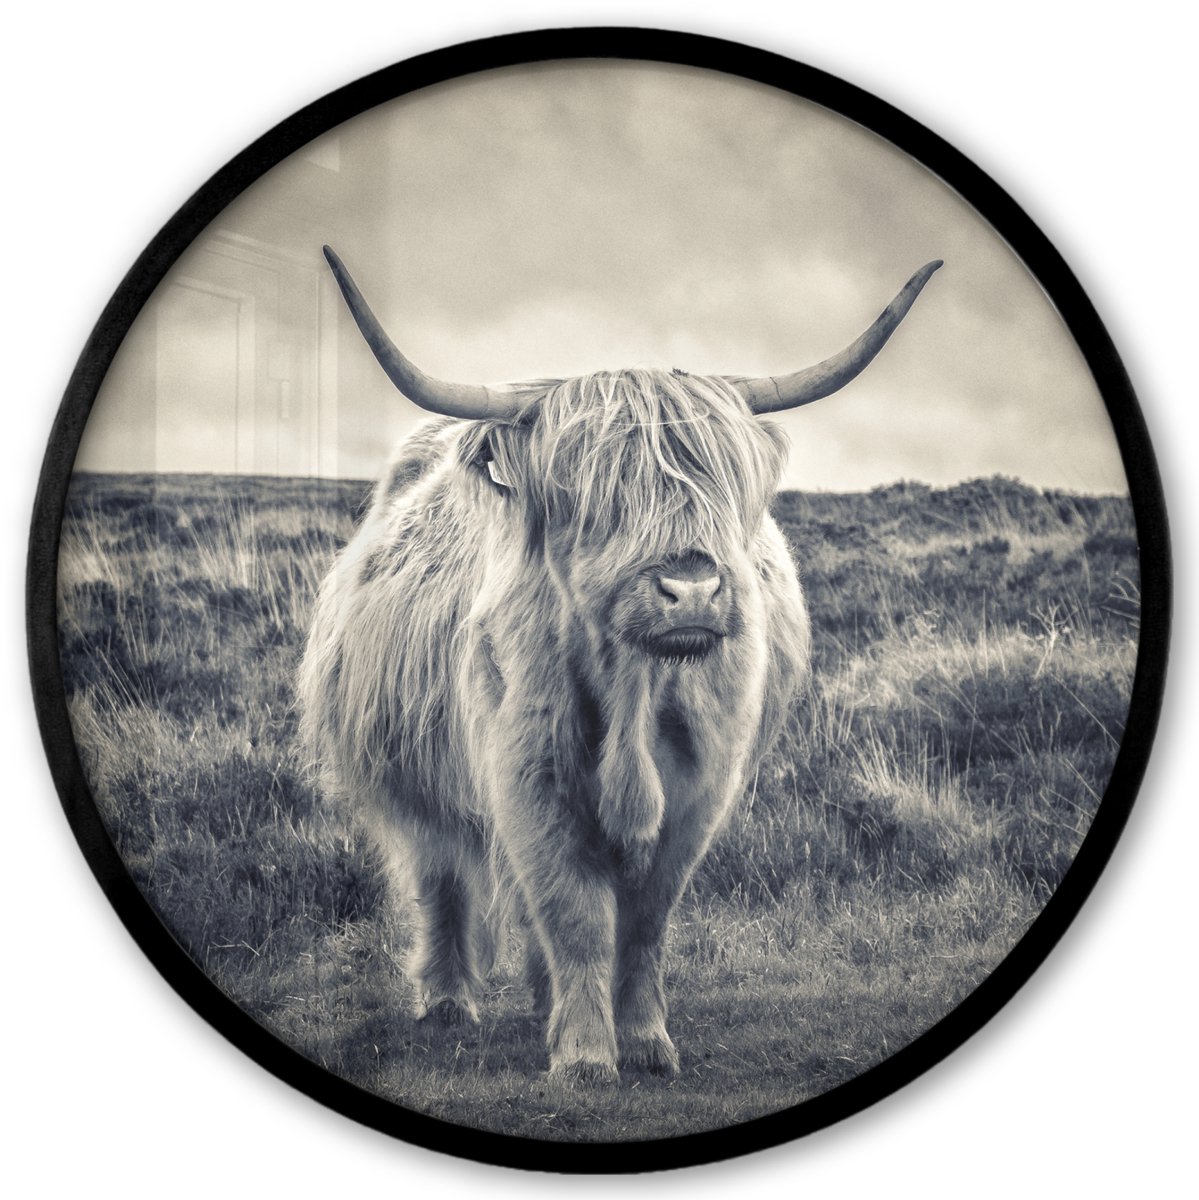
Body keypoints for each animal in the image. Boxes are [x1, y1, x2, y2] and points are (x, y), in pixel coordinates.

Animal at [298, 247, 941, 1082]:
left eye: (722, 484)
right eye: (591, 494)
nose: (690, 588)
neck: (635, 690)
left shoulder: (700, 789)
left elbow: (642, 920)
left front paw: (642, 1040)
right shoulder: (527, 776)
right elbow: (571, 912)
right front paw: (582, 1055)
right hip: (413, 775)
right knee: (441, 876)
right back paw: (446, 1002)